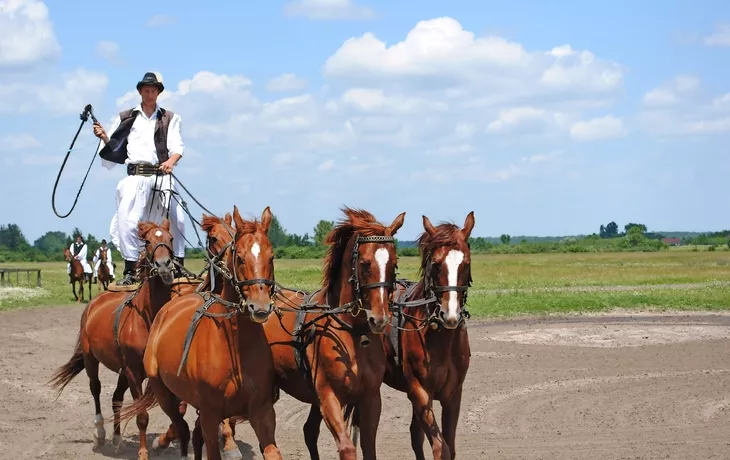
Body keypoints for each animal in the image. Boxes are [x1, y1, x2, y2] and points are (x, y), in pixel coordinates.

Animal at [49, 219, 181, 460]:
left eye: (171, 238)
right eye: (147, 241)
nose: (165, 266)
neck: (148, 318)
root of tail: (94, 304)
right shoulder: (134, 372)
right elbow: (142, 416)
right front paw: (143, 452)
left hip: (122, 371)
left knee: (116, 399)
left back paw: (117, 439)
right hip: (92, 360)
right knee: (96, 389)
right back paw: (100, 433)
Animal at [117, 206, 283, 460]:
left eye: (271, 257)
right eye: (239, 257)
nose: (260, 306)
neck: (235, 346)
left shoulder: (262, 413)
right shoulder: (210, 414)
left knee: (192, 434)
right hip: (163, 392)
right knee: (182, 428)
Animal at [260, 207, 405, 460]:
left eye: (394, 264)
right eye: (365, 263)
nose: (380, 319)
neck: (353, 333)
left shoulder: (370, 397)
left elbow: (368, 445)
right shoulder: (328, 397)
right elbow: (347, 447)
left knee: (309, 431)